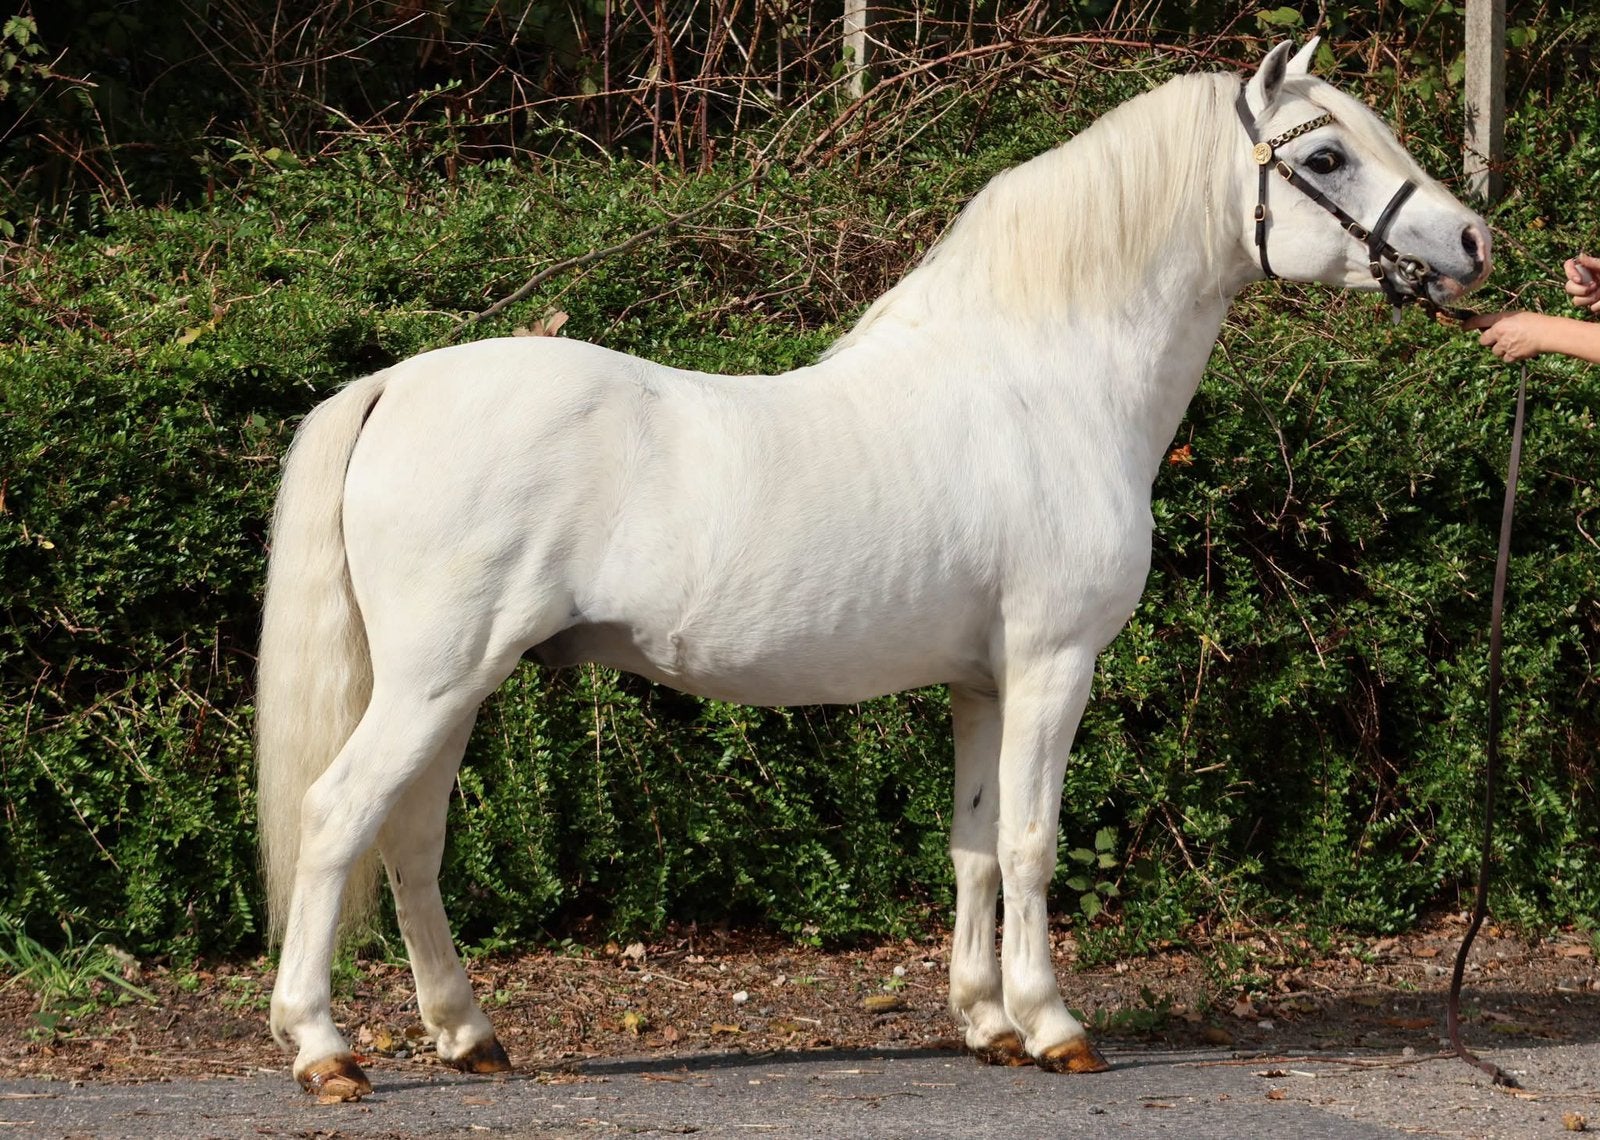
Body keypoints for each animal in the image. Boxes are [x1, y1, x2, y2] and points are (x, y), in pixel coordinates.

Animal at [256, 39, 1490, 1096]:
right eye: (1325, 158)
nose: (1474, 243)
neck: (1051, 380)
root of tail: (396, 384)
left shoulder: (984, 683)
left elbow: (974, 847)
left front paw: (987, 1022)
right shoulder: (1053, 665)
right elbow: (1031, 843)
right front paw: (1054, 1025)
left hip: (454, 685)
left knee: (411, 838)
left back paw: (468, 1035)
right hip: (435, 679)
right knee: (339, 815)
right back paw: (324, 1050)